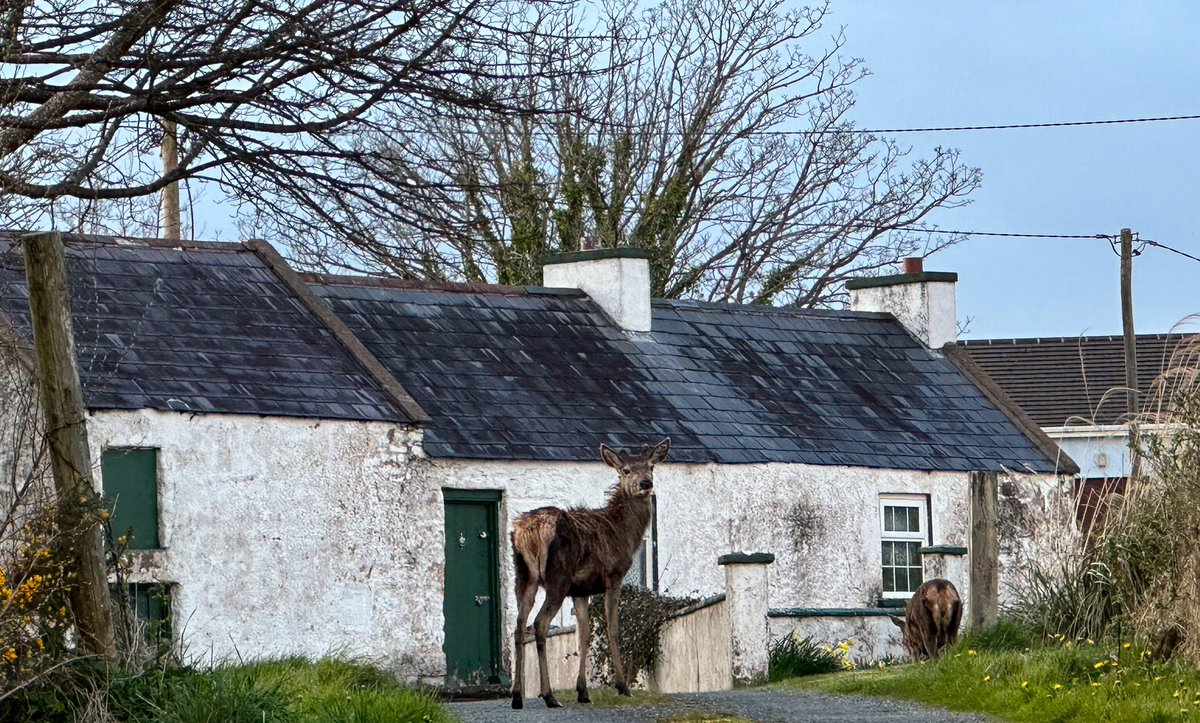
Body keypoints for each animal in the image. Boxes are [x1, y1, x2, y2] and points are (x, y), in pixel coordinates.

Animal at [510, 438, 670, 710]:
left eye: (651, 466)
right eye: (626, 469)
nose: (645, 483)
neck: (624, 533)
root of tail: (529, 531)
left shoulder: (580, 590)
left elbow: (583, 635)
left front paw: (582, 691)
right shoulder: (614, 576)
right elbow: (612, 629)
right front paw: (622, 686)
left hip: (523, 577)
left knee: (519, 625)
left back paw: (517, 696)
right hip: (557, 578)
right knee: (539, 623)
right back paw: (549, 695)